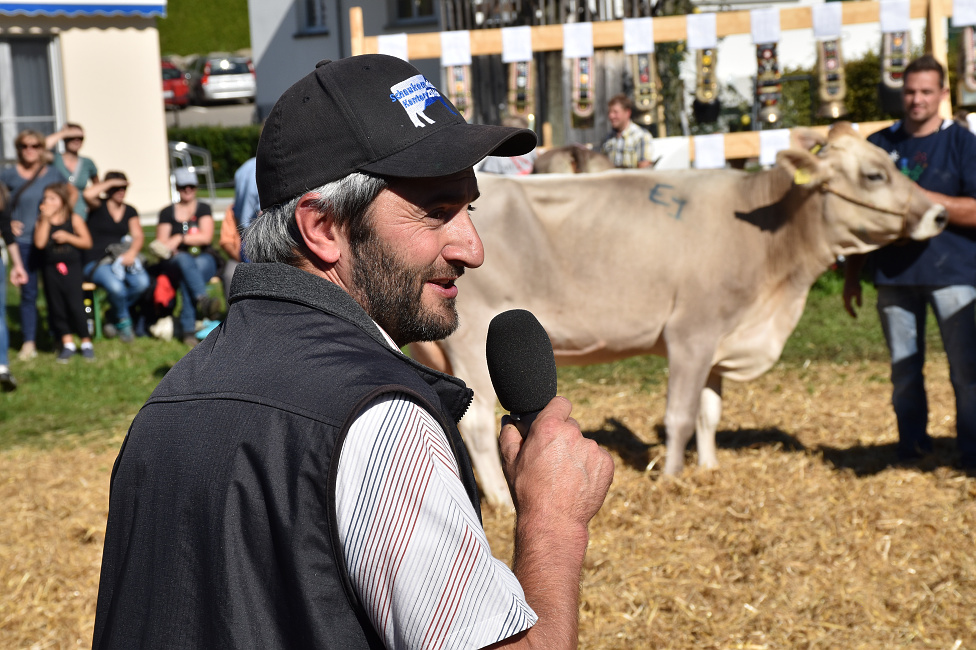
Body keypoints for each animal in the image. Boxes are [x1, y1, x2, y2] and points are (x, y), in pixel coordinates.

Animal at [416, 123, 948, 506]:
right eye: (874, 175)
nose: (939, 214)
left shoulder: (721, 341)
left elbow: (710, 414)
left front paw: (710, 468)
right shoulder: (691, 333)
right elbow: (680, 416)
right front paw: (673, 478)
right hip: (474, 338)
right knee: (478, 424)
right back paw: (504, 502)